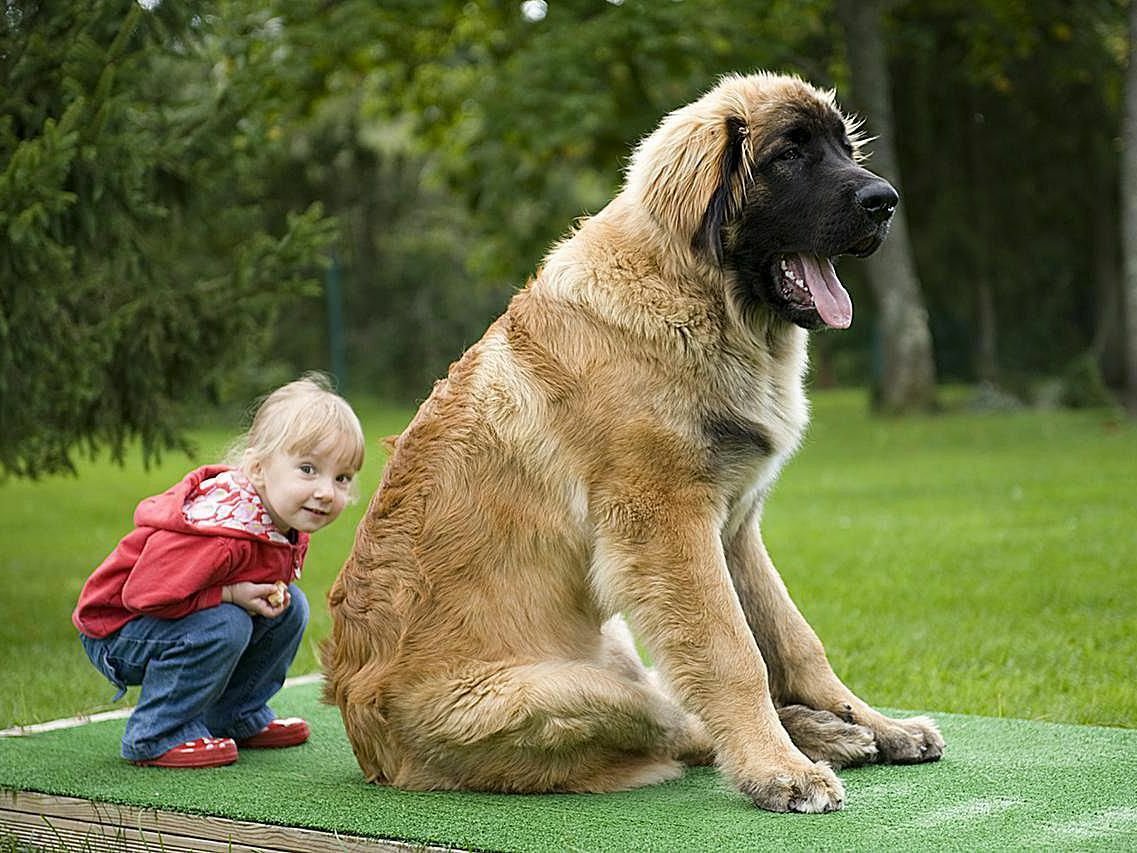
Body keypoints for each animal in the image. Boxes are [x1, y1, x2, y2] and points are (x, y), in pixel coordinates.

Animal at [325, 73, 945, 814]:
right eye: (789, 155)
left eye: (843, 150)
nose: (885, 202)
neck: (698, 296)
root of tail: (367, 745)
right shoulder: (665, 525)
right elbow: (732, 652)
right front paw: (778, 770)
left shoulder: (734, 526)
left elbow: (794, 640)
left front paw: (873, 720)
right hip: (566, 695)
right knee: (678, 723)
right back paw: (812, 743)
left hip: (612, 646)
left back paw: (839, 731)